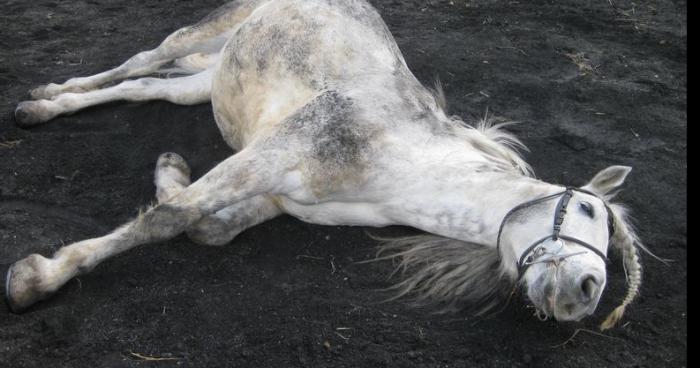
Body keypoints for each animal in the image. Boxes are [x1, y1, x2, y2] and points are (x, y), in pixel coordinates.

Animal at [8, 0, 648, 330]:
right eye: (588, 209)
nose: (586, 293)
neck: (402, 158)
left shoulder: (281, 195)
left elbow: (204, 227)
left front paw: (170, 171)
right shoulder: (272, 156)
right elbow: (170, 219)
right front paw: (37, 277)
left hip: (204, 82)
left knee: (147, 88)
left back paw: (46, 106)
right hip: (206, 31)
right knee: (141, 60)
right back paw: (44, 95)